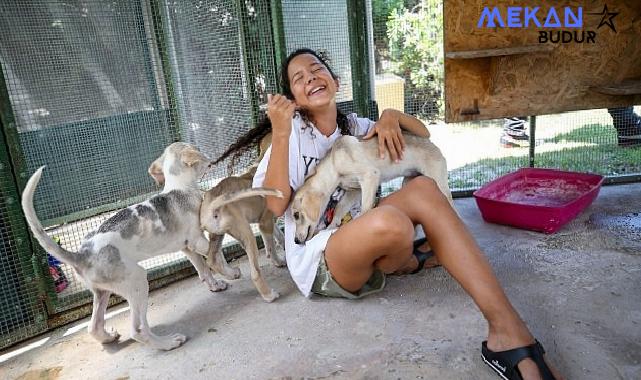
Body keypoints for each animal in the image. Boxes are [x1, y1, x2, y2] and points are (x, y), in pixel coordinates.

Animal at [290, 132, 450, 242]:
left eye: (296, 215)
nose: (296, 241)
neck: (334, 164)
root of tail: (431, 142)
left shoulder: (369, 176)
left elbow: (365, 208)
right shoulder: (354, 191)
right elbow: (340, 207)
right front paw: (331, 226)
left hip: (439, 182)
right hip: (409, 180)